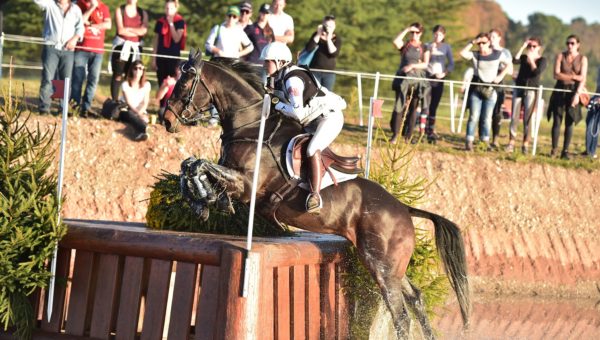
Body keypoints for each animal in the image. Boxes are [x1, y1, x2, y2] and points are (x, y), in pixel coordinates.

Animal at [162, 49, 472, 338]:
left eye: (184, 83)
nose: (166, 120)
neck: (251, 125)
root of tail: (404, 209)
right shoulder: (231, 175)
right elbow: (190, 165)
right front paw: (202, 202)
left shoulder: (247, 185)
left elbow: (199, 165)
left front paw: (207, 201)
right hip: (392, 265)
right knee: (416, 298)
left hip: (381, 265)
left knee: (401, 314)